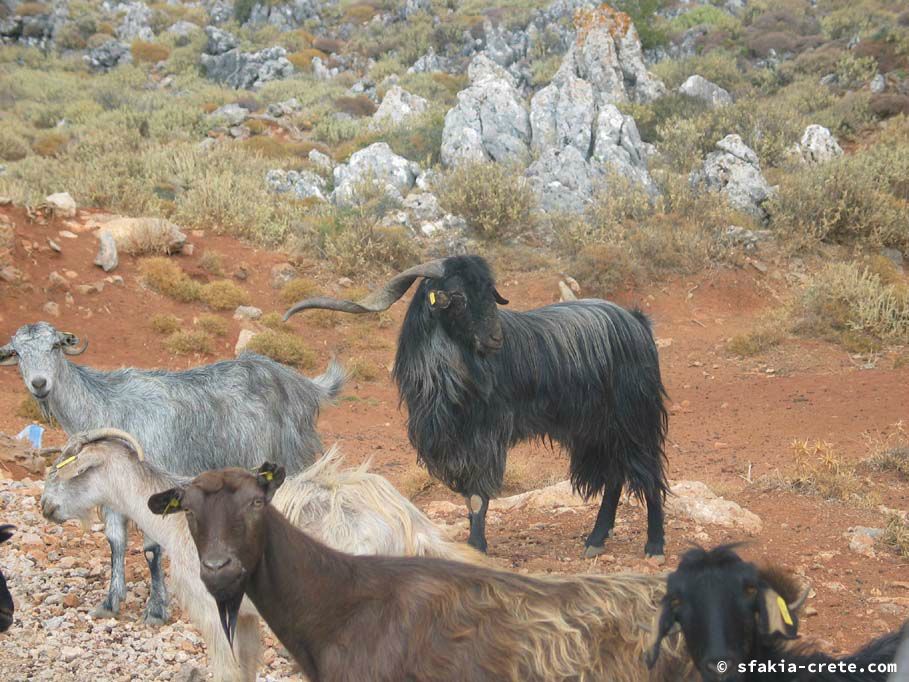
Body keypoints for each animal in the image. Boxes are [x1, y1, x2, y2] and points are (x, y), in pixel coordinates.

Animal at [1, 320, 342, 620]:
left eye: (55, 345)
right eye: (17, 352)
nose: (40, 384)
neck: (106, 405)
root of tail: (304, 385)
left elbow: (152, 549)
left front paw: (155, 610)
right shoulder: (111, 494)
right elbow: (115, 542)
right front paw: (110, 602)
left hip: (291, 458)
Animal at [39, 430, 476, 680]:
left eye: (73, 471)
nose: (46, 507)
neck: (176, 522)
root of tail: (411, 523)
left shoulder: (212, 613)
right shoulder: (246, 619)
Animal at [284, 255, 668, 556]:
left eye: (490, 292)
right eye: (457, 296)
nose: (496, 338)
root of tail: (636, 322)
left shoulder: (484, 438)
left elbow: (478, 496)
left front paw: (478, 546)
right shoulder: (452, 442)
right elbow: (469, 498)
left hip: (634, 418)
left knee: (648, 474)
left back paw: (654, 545)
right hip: (595, 431)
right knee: (615, 477)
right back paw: (596, 540)